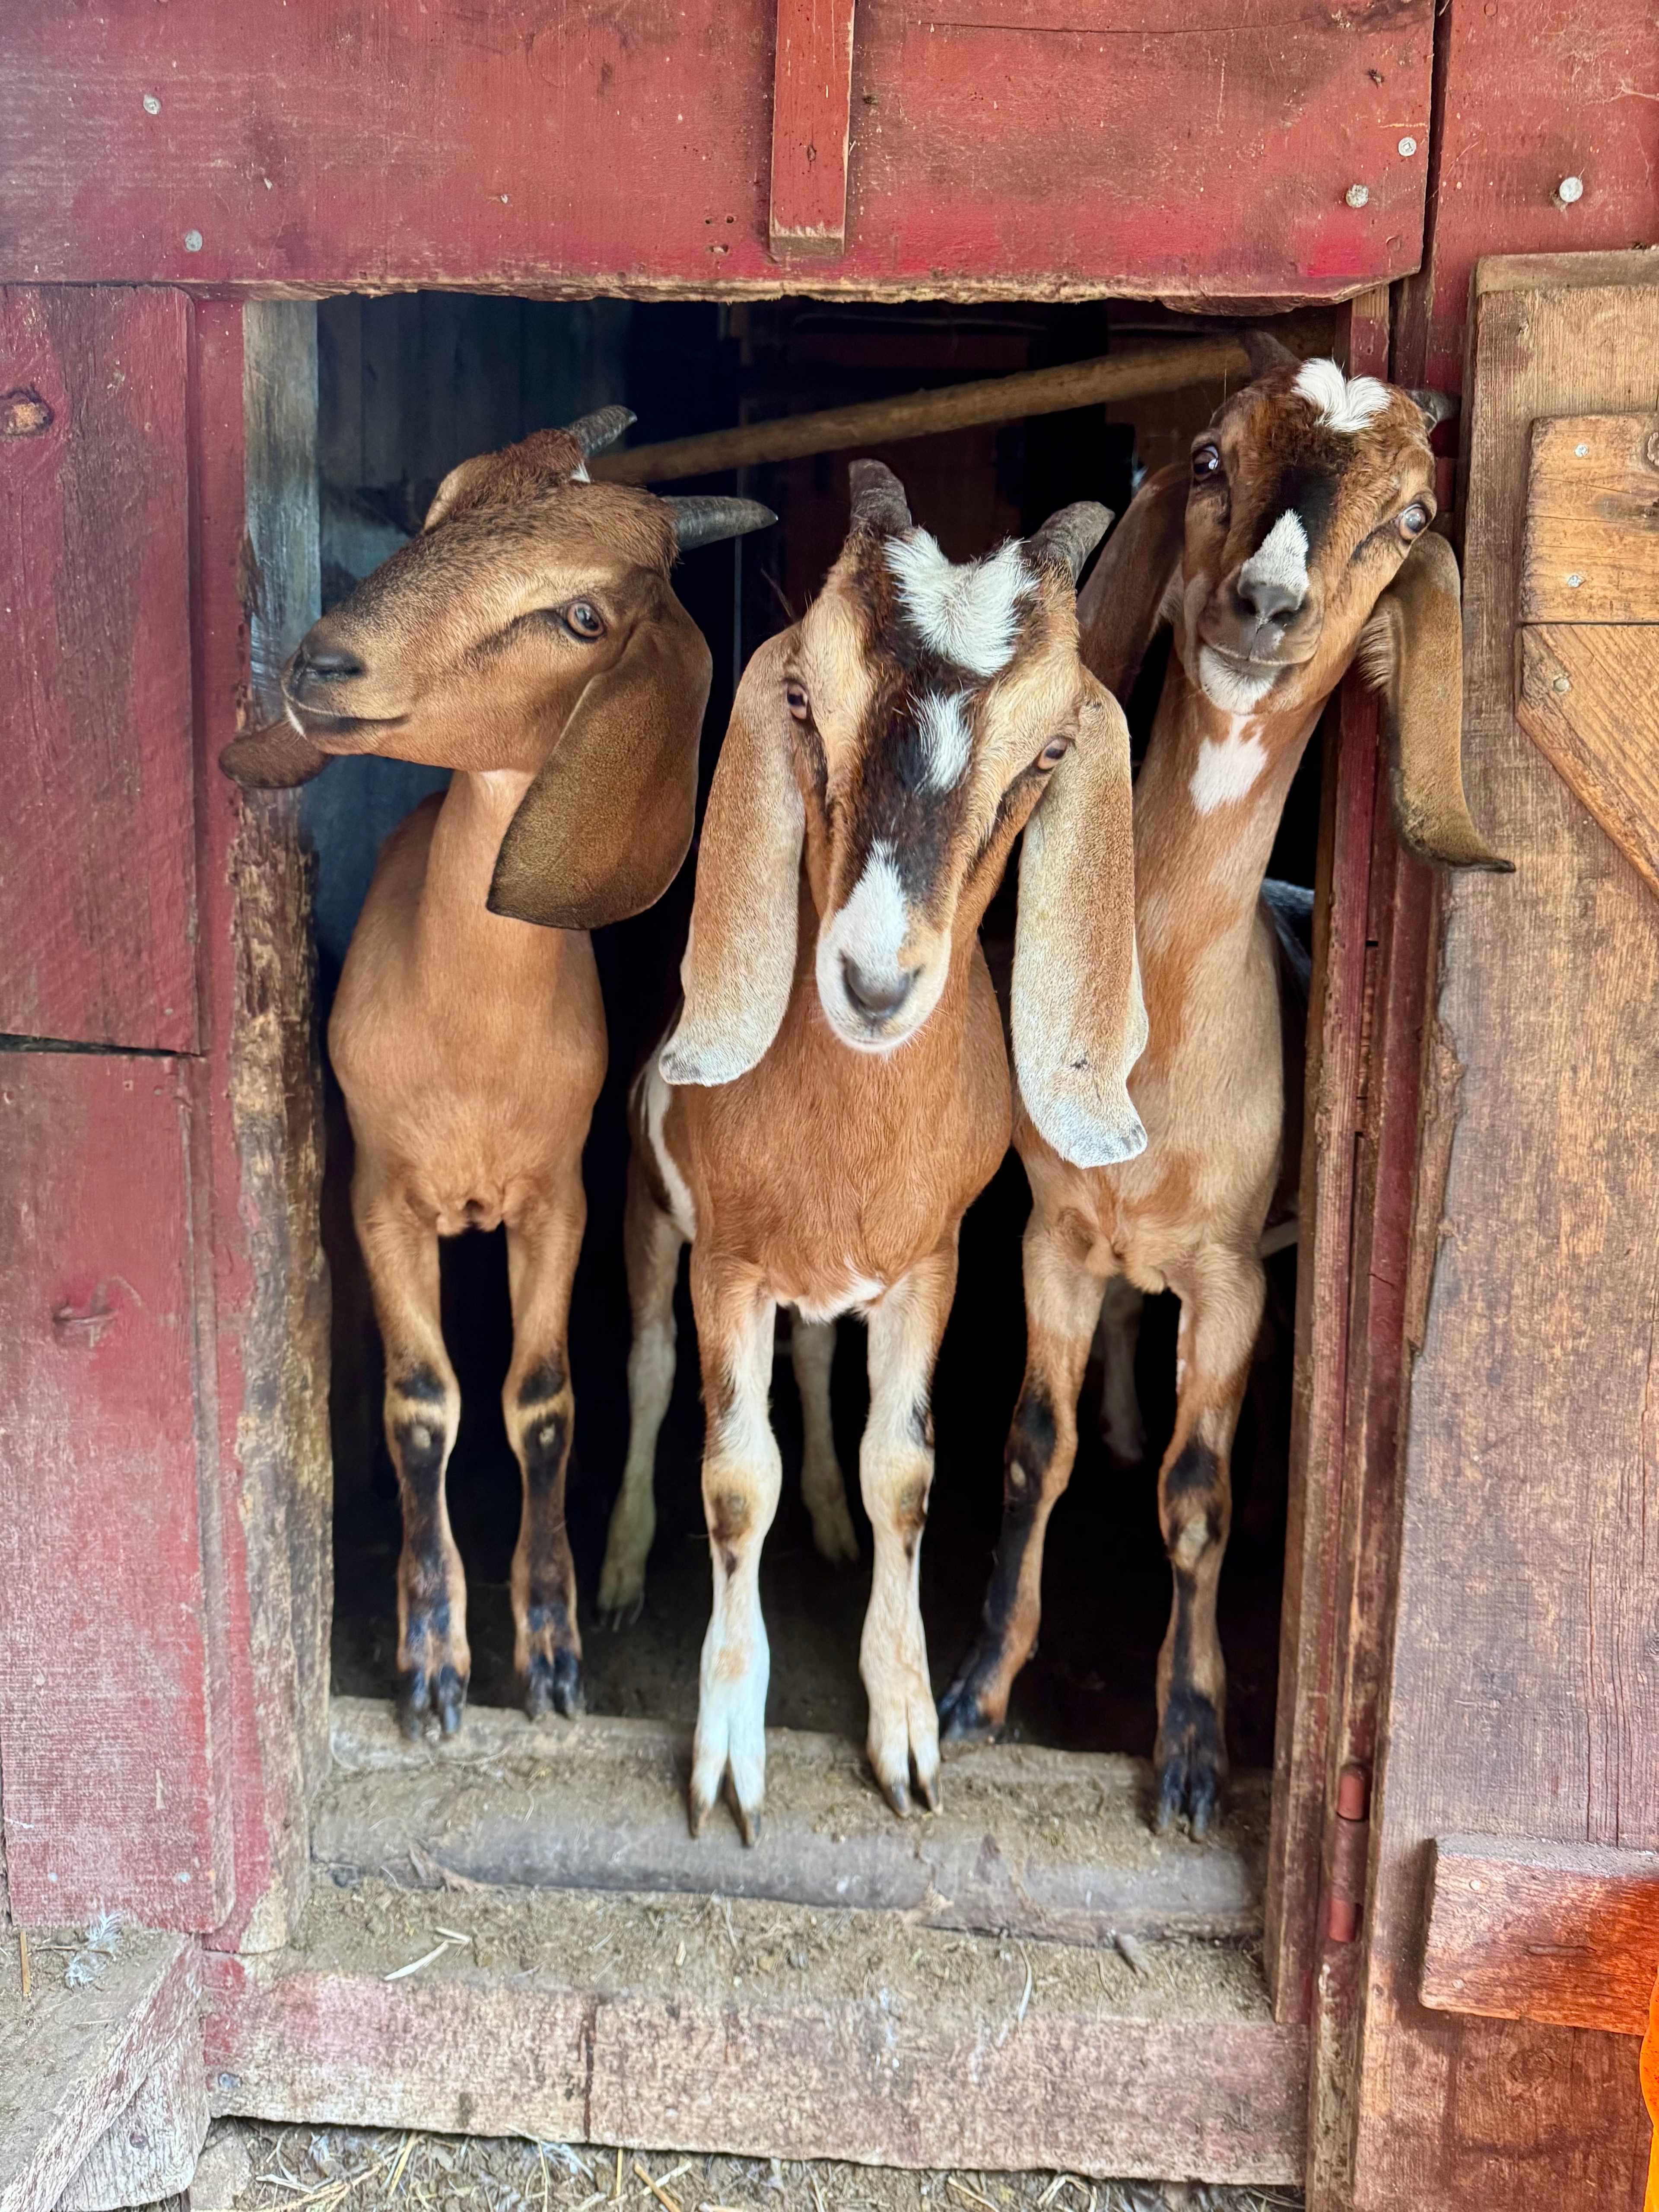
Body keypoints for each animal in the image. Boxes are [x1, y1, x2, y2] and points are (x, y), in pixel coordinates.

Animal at [222, 409, 772, 1736]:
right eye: (441, 507)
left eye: (581, 616)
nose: (325, 663)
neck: (471, 1043)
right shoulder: (381, 1197)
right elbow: (424, 1405)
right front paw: (432, 1662)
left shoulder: (556, 1201)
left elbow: (544, 1402)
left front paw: (555, 1651)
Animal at [605, 460, 1145, 1841]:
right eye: (804, 695)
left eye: (1049, 750)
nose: (873, 980)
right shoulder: (728, 1263)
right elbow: (732, 1476)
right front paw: (728, 1751)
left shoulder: (931, 1262)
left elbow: (902, 1468)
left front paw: (905, 1728)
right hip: (648, 1213)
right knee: (644, 1370)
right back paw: (621, 1561)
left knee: (812, 1365)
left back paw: (832, 1525)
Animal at [938, 334, 1510, 1834]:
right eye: (1209, 460)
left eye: (1407, 519)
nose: (1265, 603)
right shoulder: (1051, 1232)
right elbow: (1029, 1445)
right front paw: (977, 1686)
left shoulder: (1236, 1275)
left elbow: (1195, 1499)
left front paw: (1192, 1746)